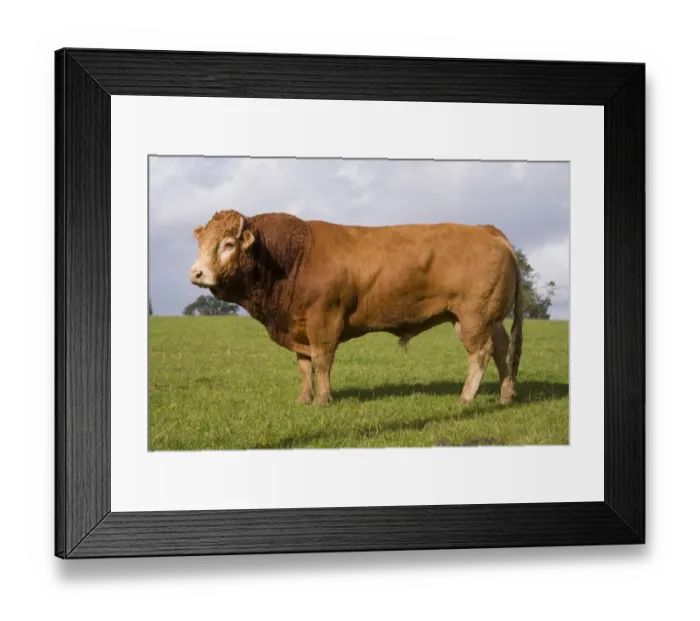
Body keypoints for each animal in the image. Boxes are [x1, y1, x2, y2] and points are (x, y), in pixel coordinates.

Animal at [189, 210, 523, 406]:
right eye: (201, 244)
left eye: (228, 244)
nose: (196, 273)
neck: (292, 258)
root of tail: (485, 229)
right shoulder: (297, 325)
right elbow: (304, 366)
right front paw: (304, 398)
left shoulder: (323, 320)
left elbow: (322, 361)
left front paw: (323, 400)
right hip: (487, 317)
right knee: (501, 348)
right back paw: (506, 395)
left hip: (473, 316)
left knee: (480, 353)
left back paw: (466, 398)